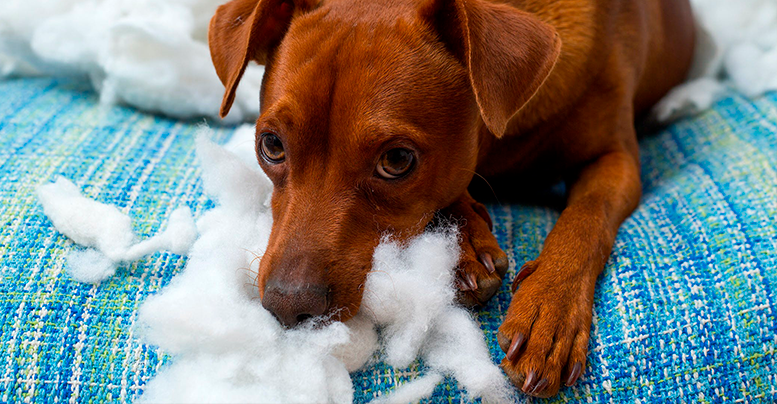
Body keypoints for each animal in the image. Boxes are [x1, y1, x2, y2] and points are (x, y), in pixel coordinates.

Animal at [206, 0, 692, 398]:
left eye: (397, 160)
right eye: (271, 146)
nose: (288, 306)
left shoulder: (616, 161)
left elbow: (586, 217)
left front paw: (550, 310)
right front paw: (465, 247)